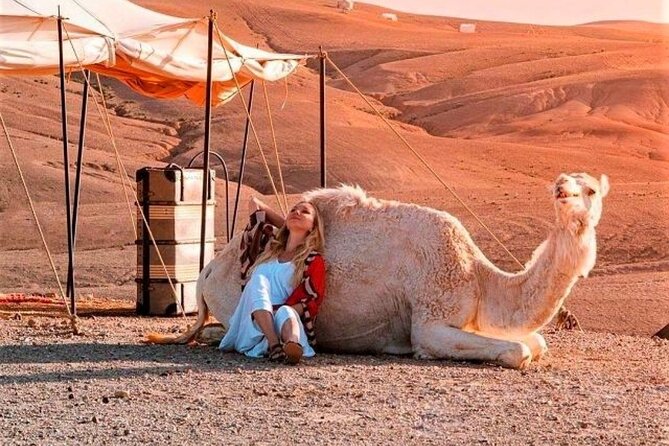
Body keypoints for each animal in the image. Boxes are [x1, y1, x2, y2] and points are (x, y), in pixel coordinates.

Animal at [149, 172, 609, 369]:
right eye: (565, 182)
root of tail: (208, 271)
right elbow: (519, 351)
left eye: (589, 188)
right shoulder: (430, 321)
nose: (561, 190)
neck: (479, 279)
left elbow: (537, 343)